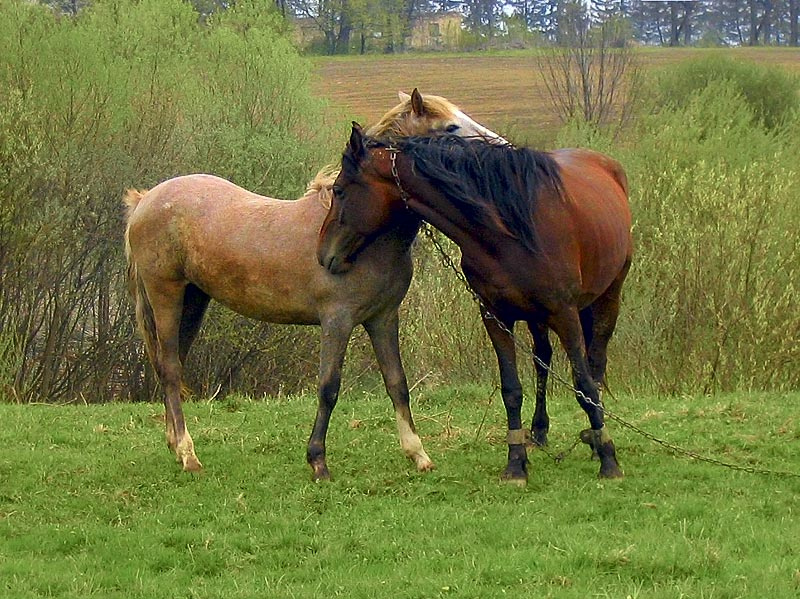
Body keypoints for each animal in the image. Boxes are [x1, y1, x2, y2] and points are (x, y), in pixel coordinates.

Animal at [124, 89, 506, 479]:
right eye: (451, 127)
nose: (501, 146)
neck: (365, 240)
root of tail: (145, 200)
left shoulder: (383, 318)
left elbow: (397, 383)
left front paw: (418, 453)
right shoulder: (337, 321)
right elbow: (328, 387)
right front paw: (318, 461)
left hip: (194, 299)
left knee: (172, 365)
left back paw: (175, 445)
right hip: (166, 294)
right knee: (171, 369)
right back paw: (188, 454)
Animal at [318, 125, 632, 484]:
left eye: (339, 190)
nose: (323, 254)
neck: (509, 229)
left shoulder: (563, 312)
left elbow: (583, 383)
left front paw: (608, 459)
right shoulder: (495, 316)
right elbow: (511, 390)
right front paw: (516, 464)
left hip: (607, 297)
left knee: (595, 364)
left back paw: (594, 441)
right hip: (537, 317)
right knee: (542, 361)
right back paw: (539, 431)